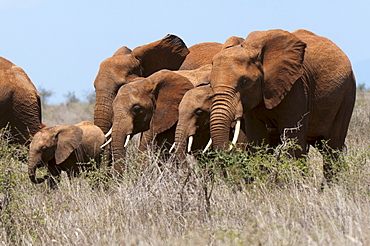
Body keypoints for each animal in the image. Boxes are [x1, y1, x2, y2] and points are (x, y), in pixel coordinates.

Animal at [208, 29, 356, 183]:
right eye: (210, 84)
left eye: (244, 81)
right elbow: (258, 141)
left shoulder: (297, 87)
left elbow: (293, 142)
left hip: (347, 94)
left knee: (332, 149)